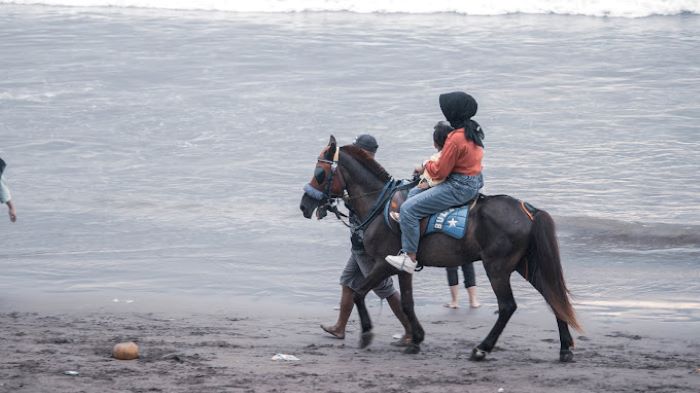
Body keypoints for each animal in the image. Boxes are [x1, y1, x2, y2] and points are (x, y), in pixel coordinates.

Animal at [298, 136, 584, 362]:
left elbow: (358, 292)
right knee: (553, 296)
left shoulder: (383, 262)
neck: (380, 204)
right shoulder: (402, 265)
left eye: (319, 172)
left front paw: (367, 333)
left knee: (507, 306)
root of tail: (529, 210)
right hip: (527, 265)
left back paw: (481, 349)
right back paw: (564, 348)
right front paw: (415, 339)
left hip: (498, 267)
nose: (304, 205)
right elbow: (407, 302)